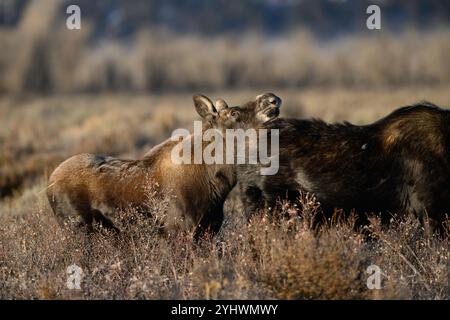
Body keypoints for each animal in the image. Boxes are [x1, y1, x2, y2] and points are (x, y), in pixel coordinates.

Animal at [48, 93, 282, 238]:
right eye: (234, 113)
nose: (272, 99)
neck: (216, 185)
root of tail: (49, 182)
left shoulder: (208, 232)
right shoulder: (178, 232)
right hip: (77, 228)